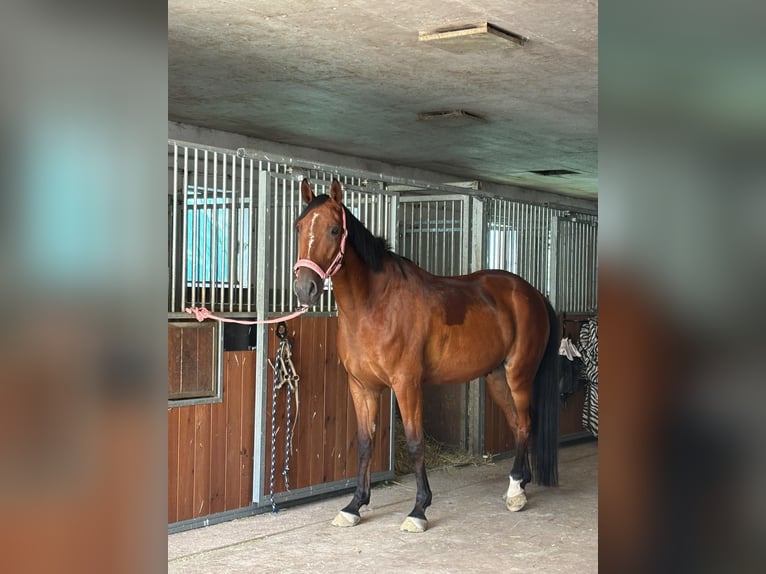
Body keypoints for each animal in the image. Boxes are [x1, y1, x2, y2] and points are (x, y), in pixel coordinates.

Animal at [293, 178, 560, 533]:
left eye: (335, 229)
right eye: (299, 227)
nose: (304, 288)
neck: (374, 305)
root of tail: (533, 294)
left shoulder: (407, 384)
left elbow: (415, 442)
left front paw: (419, 510)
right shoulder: (362, 386)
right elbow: (364, 443)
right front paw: (354, 506)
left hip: (519, 375)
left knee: (526, 423)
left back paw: (517, 491)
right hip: (497, 377)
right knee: (518, 425)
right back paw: (518, 486)